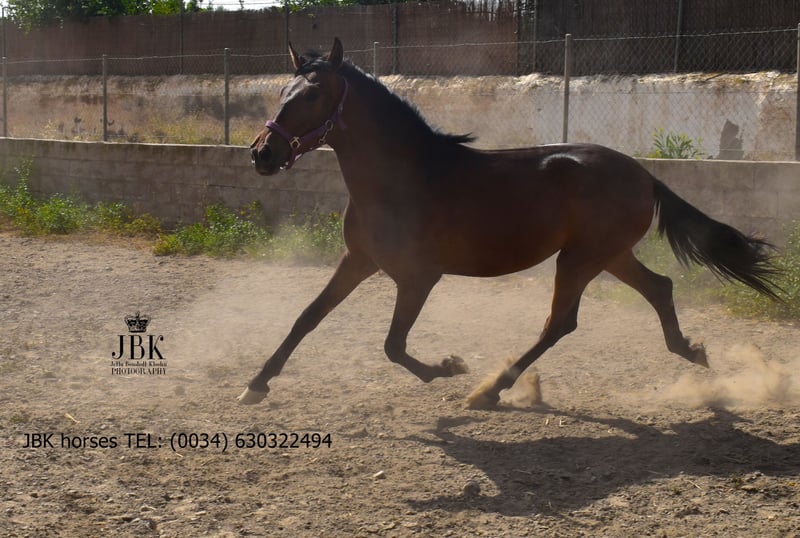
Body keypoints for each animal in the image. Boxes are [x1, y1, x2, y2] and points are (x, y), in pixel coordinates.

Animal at [243, 38, 779, 409]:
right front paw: (256, 384)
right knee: (659, 288)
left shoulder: (418, 277)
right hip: (609, 255)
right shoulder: (358, 260)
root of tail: (645, 175)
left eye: (312, 96)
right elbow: (308, 317)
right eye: (283, 91)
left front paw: (449, 367)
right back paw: (692, 351)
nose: (262, 155)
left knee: (561, 322)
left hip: (581, 258)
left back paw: (489, 390)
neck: (401, 178)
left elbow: (393, 345)